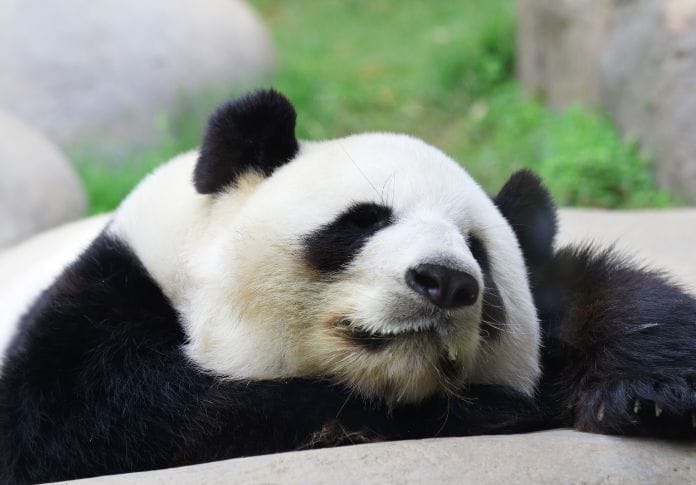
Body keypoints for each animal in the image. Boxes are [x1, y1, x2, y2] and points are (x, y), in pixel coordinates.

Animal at [0, 90, 694, 483]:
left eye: (478, 251)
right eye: (365, 220)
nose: (445, 282)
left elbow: (601, 296)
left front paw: (646, 389)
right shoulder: (104, 306)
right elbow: (106, 422)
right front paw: (494, 410)